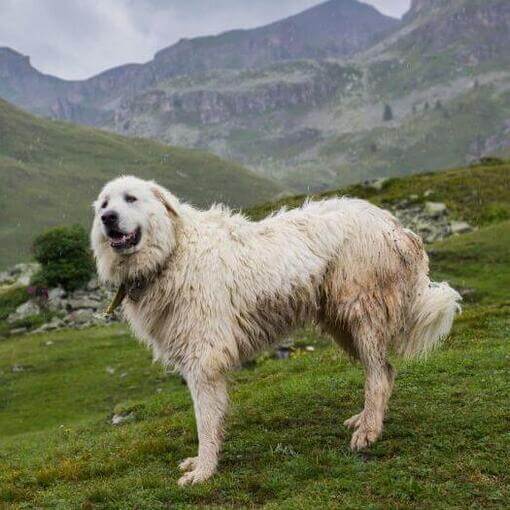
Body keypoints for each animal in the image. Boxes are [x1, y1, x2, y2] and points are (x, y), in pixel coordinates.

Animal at [91, 176, 462, 486]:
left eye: (131, 198)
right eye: (105, 203)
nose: (108, 218)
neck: (172, 253)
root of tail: (395, 226)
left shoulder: (204, 359)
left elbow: (205, 421)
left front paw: (204, 470)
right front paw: (201, 464)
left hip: (361, 314)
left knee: (379, 375)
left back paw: (369, 431)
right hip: (342, 325)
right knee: (385, 370)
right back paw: (364, 419)